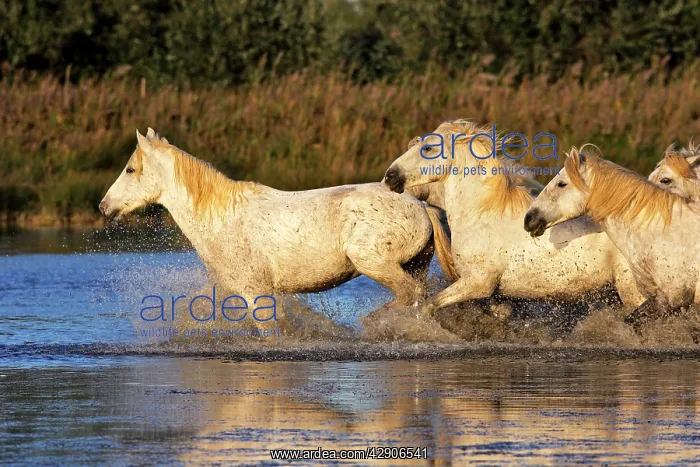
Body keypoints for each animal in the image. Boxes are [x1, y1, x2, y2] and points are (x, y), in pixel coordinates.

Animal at [99, 128, 456, 317]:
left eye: (130, 169)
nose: (104, 206)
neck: (220, 219)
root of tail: (420, 205)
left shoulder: (256, 293)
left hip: (375, 263)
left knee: (410, 295)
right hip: (415, 265)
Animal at [383, 119, 645, 317]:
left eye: (428, 149)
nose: (390, 176)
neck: (481, 214)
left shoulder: (478, 283)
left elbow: (429, 306)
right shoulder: (496, 295)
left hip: (632, 289)